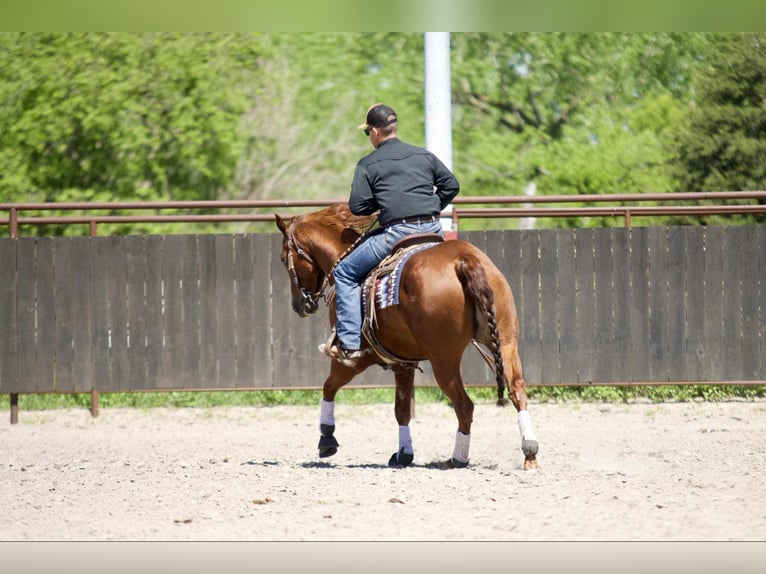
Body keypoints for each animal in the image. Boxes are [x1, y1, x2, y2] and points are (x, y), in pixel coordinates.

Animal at [276, 205, 540, 470]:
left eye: (283, 258)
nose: (300, 305)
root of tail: (465, 260)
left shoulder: (354, 360)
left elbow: (329, 387)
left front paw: (327, 440)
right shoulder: (403, 362)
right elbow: (401, 408)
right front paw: (403, 453)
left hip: (444, 359)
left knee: (464, 405)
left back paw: (458, 458)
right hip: (505, 342)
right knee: (517, 390)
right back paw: (529, 453)